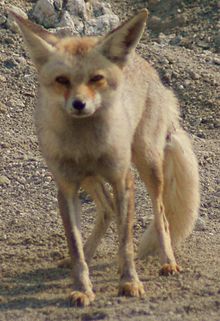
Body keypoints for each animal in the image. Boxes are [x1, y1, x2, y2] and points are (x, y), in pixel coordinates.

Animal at [9, 7, 199, 306]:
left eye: (96, 78)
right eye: (62, 80)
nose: (79, 104)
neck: (87, 144)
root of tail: (144, 64)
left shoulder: (123, 180)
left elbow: (126, 243)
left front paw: (129, 283)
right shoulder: (67, 187)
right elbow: (75, 246)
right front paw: (82, 288)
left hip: (148, 163)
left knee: (161, 216)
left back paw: (168, 261)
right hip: (90, 179)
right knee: (107, 210)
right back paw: (89, 254)